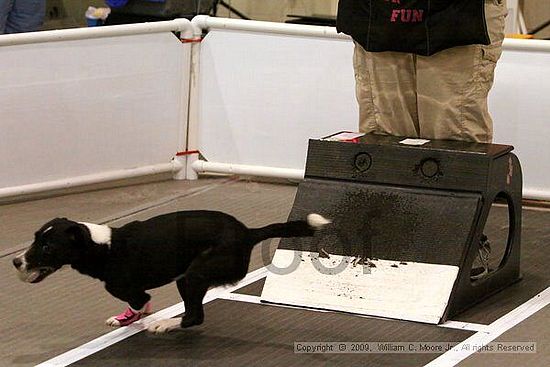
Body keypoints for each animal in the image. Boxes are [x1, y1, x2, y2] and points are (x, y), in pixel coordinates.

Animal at [14, 210, 332, 334]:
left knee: (194, 317)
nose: (16, 262)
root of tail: (247, 233)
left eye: (47, 247)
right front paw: (126, 318)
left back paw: (166, 324)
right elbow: (137, 305)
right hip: (186, 277)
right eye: (35, 238)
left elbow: (139, 300)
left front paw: (141, 317)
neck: (103, 245)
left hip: (194, 275)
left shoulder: (126, 288)